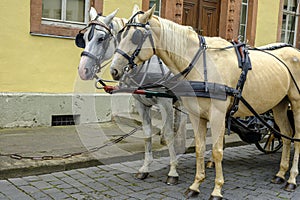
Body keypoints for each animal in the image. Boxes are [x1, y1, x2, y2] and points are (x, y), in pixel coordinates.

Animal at [76, 5, 186, 184]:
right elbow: (147, 134)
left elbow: (169, 133)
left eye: (101, 38)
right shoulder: (141, 104)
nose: (82, 70)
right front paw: (145, 168)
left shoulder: (165, 103)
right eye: (84, 38)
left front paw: (173, 172)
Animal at [110, 5, 300, 199]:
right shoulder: (196, 115)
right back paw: (280, 174)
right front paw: (195, 185)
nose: (114, 70)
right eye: (121, 34)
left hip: (296, 104)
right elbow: (200, 148)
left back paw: (291, 179)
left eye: (136, 36)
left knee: (297, 138)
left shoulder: (217, 115)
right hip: (279, 105)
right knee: (286, 135)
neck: (201, 63)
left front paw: (217, 189)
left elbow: (217, 151)